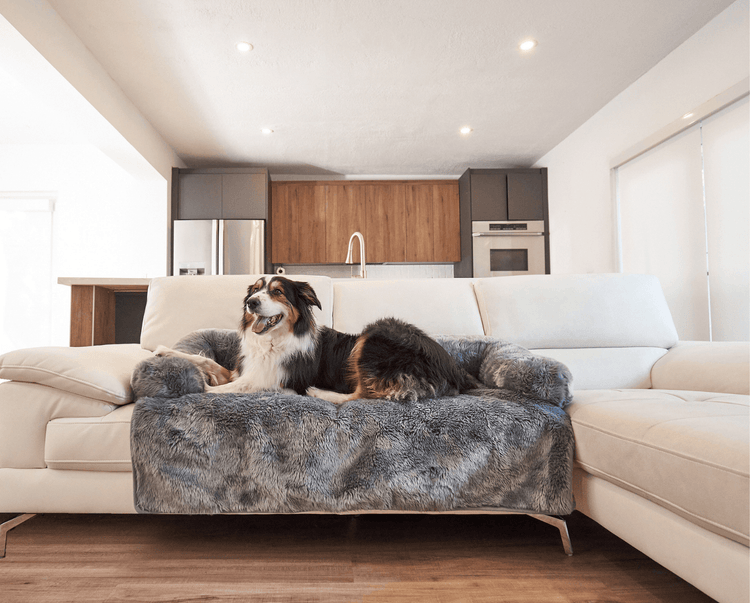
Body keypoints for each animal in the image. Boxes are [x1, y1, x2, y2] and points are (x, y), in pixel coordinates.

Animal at [156, 278, 478, 406]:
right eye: (256, 290)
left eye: (277, 292)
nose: (250, 302)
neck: (274, 340)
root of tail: (454, 368)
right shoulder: (244, 369)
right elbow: (206, 359)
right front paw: (162, 351)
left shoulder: (266, 380)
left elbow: (221, 390)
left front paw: (199, 385)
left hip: (373, 336)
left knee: (363, 395)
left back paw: (317, 392)